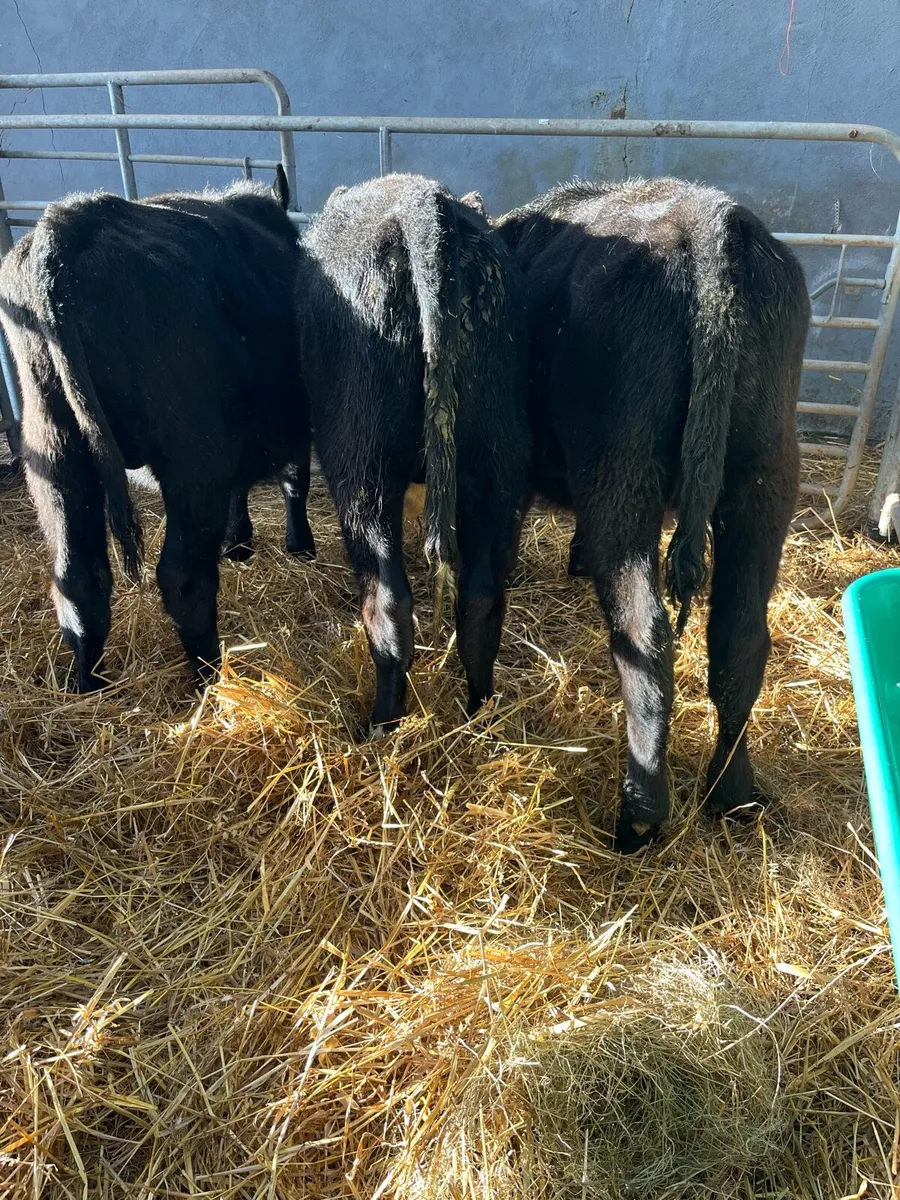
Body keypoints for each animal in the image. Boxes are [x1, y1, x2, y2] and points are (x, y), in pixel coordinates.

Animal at [0, 168, 315, 692]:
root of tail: (69, 222)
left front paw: (239, 543)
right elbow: (294, 480)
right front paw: (298, 546)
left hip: (56, 451)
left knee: (78, 580)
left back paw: (89, 685)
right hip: (193, 455)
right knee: (183, 578)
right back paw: (210, 677)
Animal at [295, 173, 530, 733]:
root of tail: (422, 205)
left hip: (362, 466)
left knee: (386, 601)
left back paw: (382, 723)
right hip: (497, 459)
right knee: (482, 598)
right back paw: (478, 713)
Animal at [493, 177, 810, 853]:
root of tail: (710, 221)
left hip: (622, 471)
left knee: (645, 636)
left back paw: (639, 814)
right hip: (766, 473)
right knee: (740, 636)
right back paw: (731, 795)